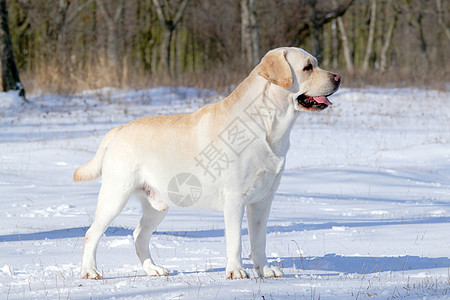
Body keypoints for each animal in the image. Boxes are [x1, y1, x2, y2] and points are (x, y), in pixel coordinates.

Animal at [74, 46, 342, 278]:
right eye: (307, 67)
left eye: (316, 63)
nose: (339, 77)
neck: (267, 126)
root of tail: (118, 130)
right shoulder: (235, 198)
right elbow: (235, 240)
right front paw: (236, 272)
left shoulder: (263, 200)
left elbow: (259, 240)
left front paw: (265, 270)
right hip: (115, 196)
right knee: (91, 233)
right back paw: (90, 271)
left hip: (157, 205)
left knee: (139, 234)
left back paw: (153, 269)